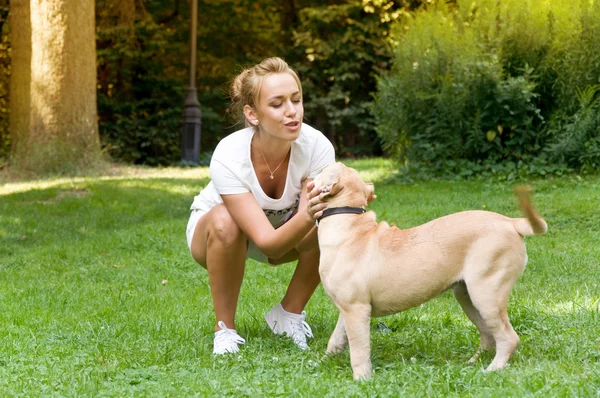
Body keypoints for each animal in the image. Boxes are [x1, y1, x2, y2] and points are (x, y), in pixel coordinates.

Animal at [314, 161, 548, 380]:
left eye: (326, 169)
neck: (348, 220)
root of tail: (511, 222)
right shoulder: (347, 309)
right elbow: (336, 340)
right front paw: (322, 363)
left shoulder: (356, 309)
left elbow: (359, 350)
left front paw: (362, 379)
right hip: (468, 297)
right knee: (489, 335)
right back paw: (472, 363)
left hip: (486, 293)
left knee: (508, 337)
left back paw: (492, 369)